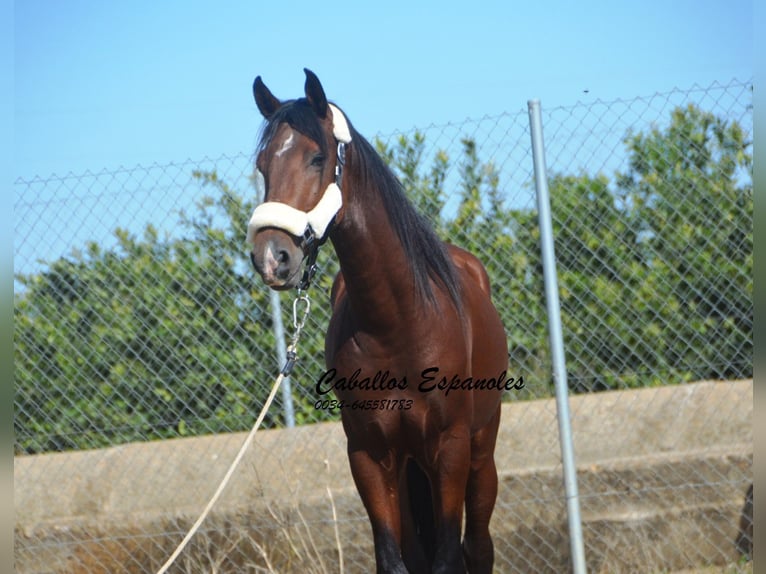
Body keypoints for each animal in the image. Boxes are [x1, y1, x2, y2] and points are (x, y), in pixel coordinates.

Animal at [248, 70, 510, 572]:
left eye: (317, 158)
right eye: (262, 165)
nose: (272, 257)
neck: (399, 323)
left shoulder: (449, 449)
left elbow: (450, 557)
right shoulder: (370, 455)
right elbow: (393, 558)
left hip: (480, 453)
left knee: (478, 546)